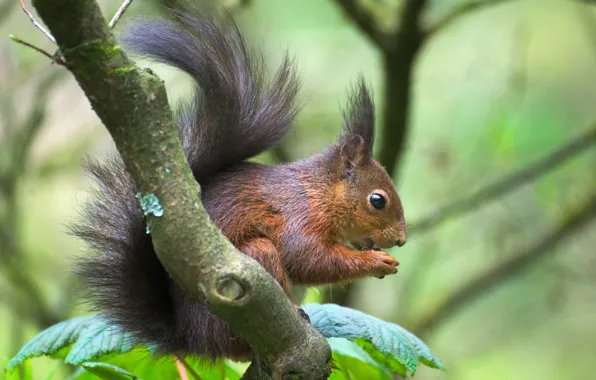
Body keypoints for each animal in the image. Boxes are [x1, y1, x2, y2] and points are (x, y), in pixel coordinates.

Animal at [68, 5, 406, 362]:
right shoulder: (298, 216)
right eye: (378, 200)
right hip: (253, 263)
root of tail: (195, 340)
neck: (319, 192)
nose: (401, 240)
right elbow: (308, 259)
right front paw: (376, 261)